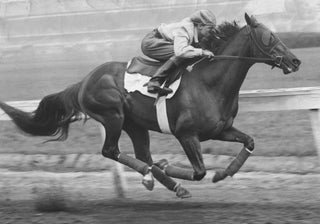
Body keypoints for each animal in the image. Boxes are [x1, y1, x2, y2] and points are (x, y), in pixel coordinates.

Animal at [0, 13, 300, 198]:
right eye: (270, 37)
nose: (295, 61)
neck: (210, 82)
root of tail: (83, 81)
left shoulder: (220, 130)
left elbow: (249, 141)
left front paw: (224, 172)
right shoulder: (186, 134)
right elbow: (199, 172)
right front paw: (174, 168)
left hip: (135, 125)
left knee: (143, 155)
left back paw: (170, 182)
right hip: (113, 116)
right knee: (112, 151)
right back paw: (151, 175)